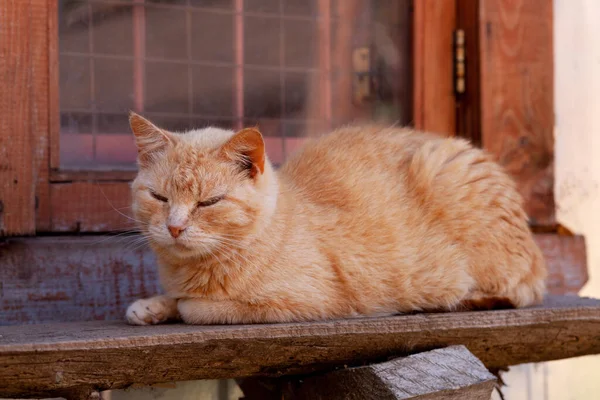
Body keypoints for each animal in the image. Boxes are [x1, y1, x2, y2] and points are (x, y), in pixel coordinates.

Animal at [124, 112, 548, 324]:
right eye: (159, 197)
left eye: (208, 202)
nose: (174, 227)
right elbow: (174, 298)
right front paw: (153, 306)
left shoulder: (309, 302)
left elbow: (196, 307)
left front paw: (176, 306)